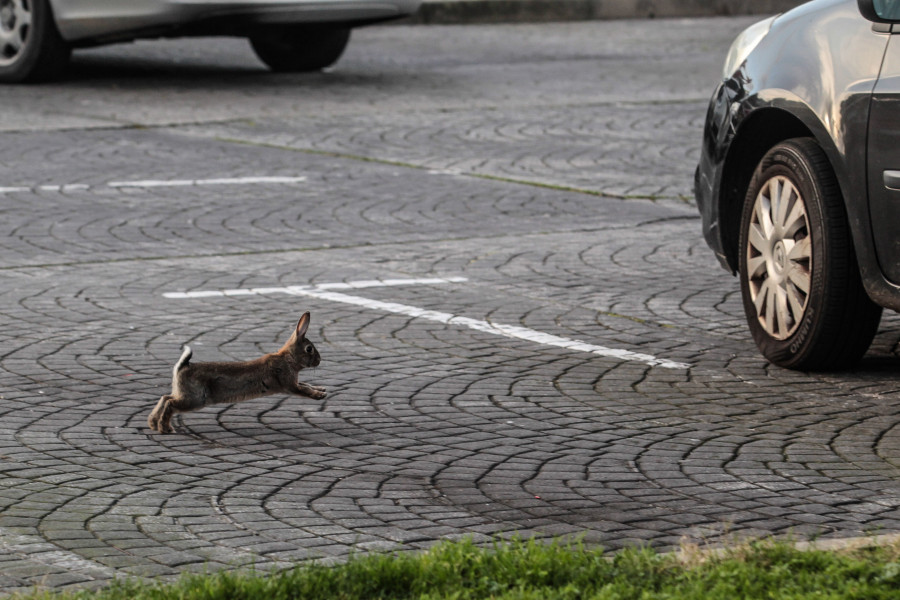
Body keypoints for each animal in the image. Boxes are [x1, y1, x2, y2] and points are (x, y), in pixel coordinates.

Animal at [149, 312, 326, 434]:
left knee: (165, 398)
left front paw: (322, 389)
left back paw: (152, 423)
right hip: (196, 399)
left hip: (185, 394)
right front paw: (319, 395)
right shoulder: (288, 384)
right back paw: (165, 429)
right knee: (171, 404)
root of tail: (182, 366)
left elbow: (306, 384)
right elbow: (304, 390)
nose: (319, 360)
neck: (288, 358)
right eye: (309, 349)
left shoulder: (293, 381)